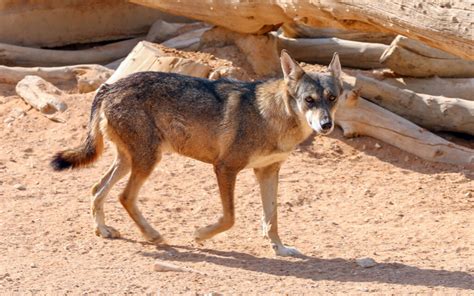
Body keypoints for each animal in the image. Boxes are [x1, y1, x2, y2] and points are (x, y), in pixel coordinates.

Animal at [51, 51, 346, 256]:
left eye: (332, 98)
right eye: (309, 100)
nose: (326, 125)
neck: (270, 117)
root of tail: (109, 86)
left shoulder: (268, 171)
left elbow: (271, 219)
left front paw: (280, 249)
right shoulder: (225, 168)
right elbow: (230, 218)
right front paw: (200, 235)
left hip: (128, 161)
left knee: (96, 189)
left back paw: (102, 230)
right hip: (147, 161)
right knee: (124, 196)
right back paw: (153, 236)